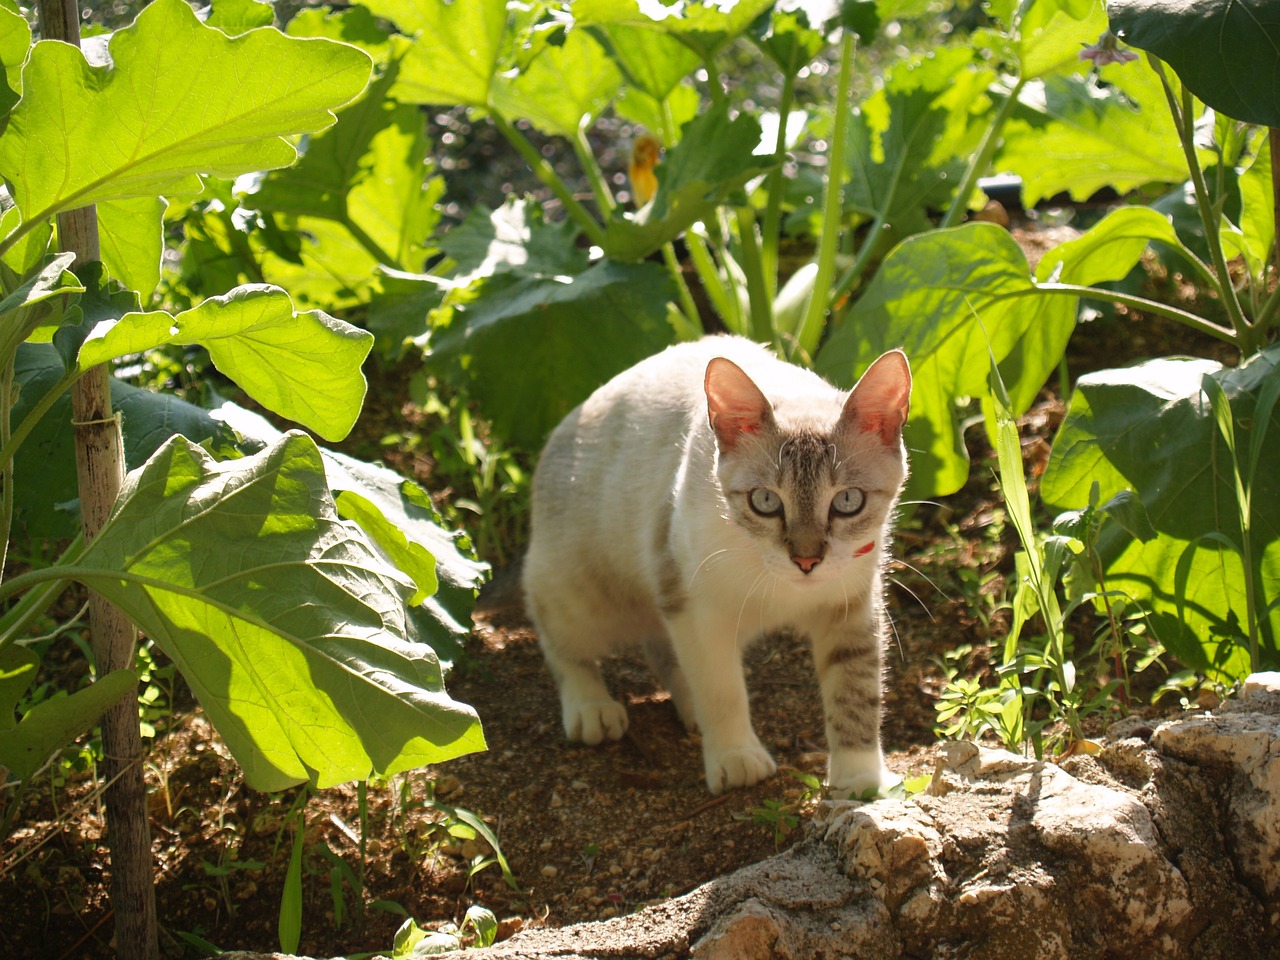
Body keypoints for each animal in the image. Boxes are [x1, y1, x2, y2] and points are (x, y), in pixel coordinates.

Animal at [519, 335, 911, 798]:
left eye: (848, 501)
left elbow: (856, 693)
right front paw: (736, 759)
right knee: (560, 640)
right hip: (580, 590)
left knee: (661, 648)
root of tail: (559, 430)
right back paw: (591, 707)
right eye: (765, 501)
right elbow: (722, 691)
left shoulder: (851, 606)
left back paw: (687, 709)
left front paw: (859, 781)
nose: (806, 560)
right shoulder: (694, 607)